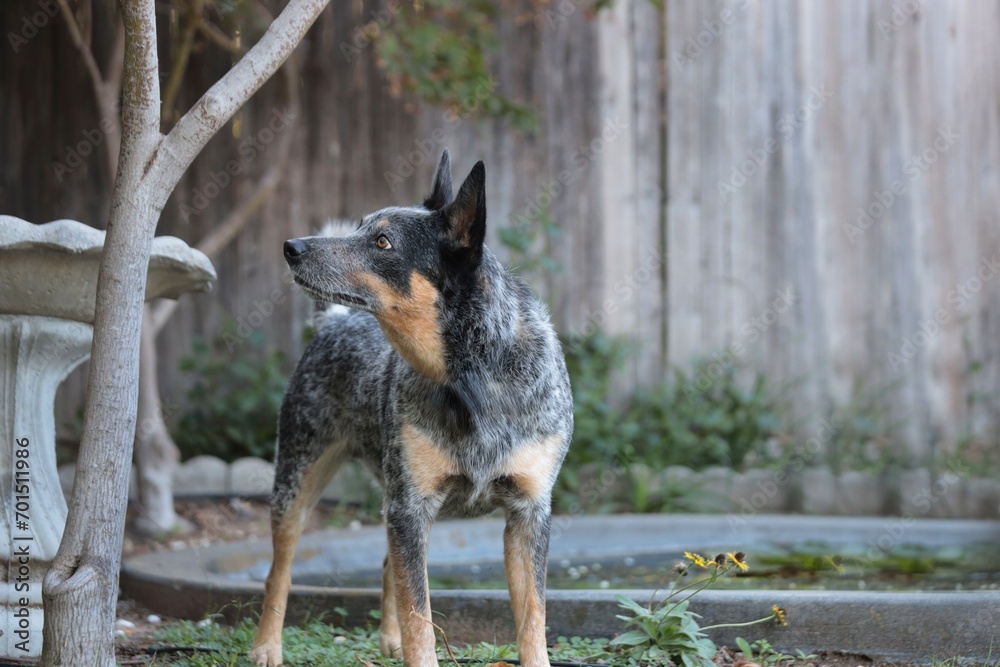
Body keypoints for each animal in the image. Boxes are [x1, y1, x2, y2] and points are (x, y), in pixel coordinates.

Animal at [250, 153, 576, 667]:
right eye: (360, 226)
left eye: (382, 242)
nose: (291, 246)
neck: (471, 381)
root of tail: (335, 322)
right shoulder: (410, 507)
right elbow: (420, 617)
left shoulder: (528, 515)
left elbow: (533, 620)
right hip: (296, 484)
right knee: (278, 572)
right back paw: (267, 646)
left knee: (388, 564)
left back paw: (388, 638)